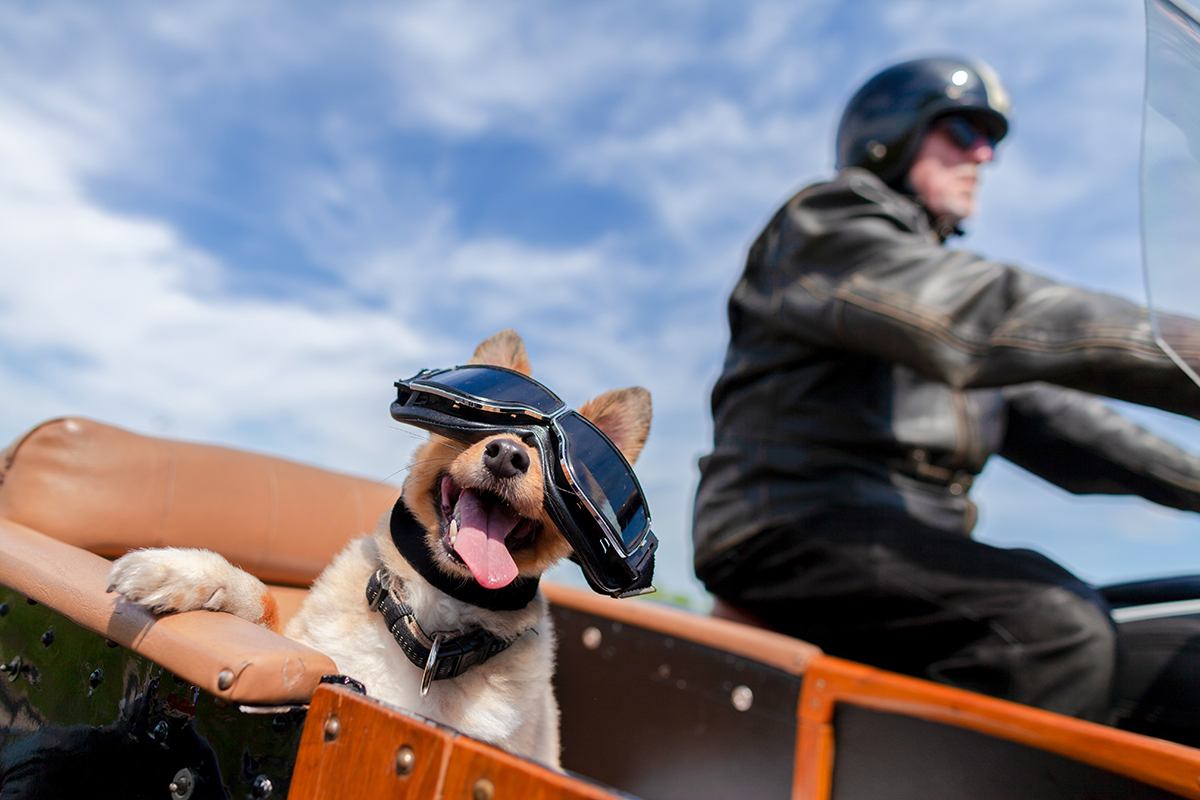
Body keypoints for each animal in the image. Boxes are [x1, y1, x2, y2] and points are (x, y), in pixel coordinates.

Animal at [108, 328, 652, 767]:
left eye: (554, 460)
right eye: (485, 425)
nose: (508, 455)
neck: (431, 630)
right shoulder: (307, 653)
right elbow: (262, 603)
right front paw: (181, 573)